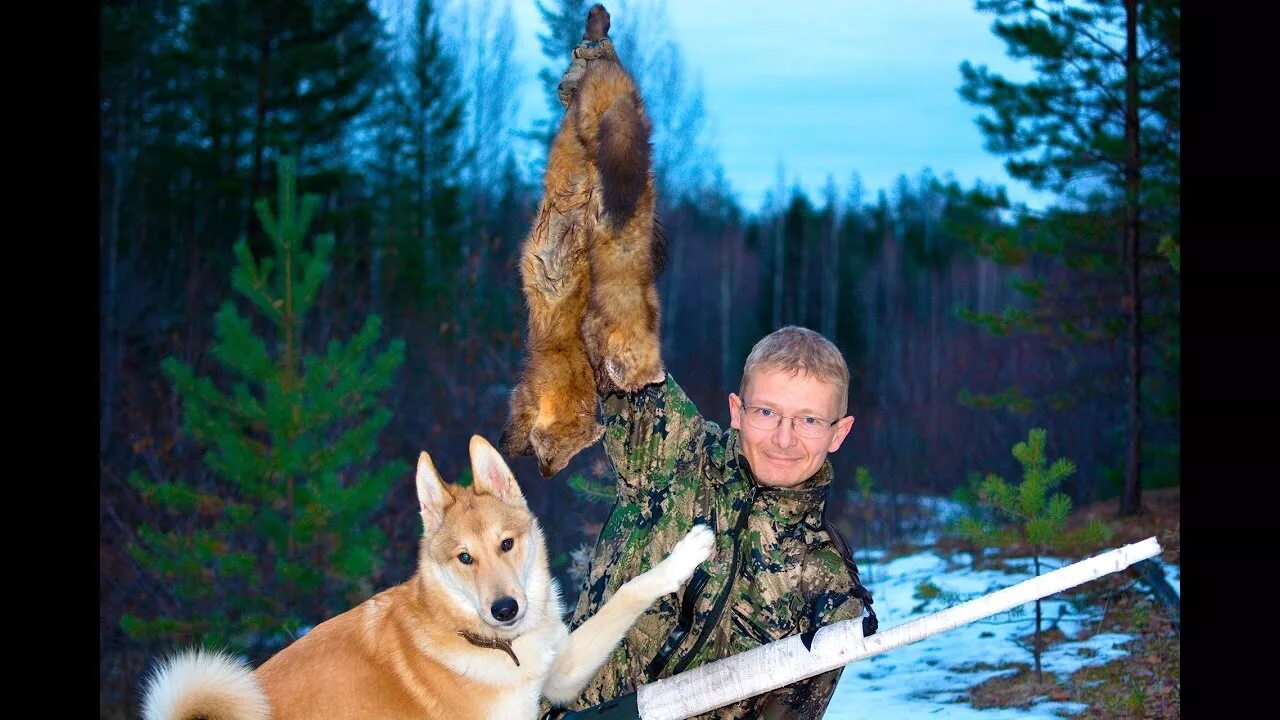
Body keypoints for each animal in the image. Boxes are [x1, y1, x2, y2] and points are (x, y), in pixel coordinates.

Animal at [145, 430, 716, 717]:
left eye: (506, 544)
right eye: (465, 558)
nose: (505, 609)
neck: (487, 644)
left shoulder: (560, 673)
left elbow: (627, 592)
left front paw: (684, 555)